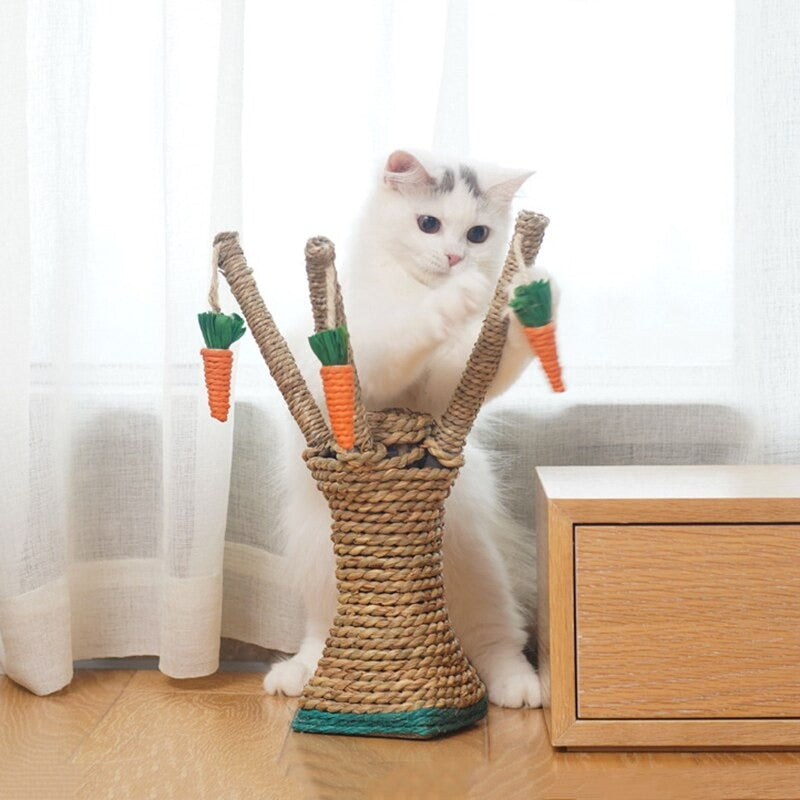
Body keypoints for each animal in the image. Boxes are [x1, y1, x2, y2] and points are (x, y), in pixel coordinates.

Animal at [268, 148, 544, 708]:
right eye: (428, 224)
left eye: (478, 234)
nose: (456, 260)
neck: (409, 288)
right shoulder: (357, 371)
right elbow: (402, 337)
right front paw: (453, 301)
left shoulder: (447, 393)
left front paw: (521, 296)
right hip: (321, 567)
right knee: (320, 636)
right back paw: (297, 676)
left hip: (480, 570)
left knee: (500, 640)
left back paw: (519, 688)